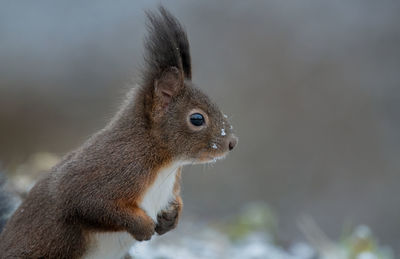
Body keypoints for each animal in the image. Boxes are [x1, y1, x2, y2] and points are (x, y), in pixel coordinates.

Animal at [0, 6, 238, 259]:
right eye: (197, 119)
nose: (232, 142)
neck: (166, 162)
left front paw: (172, 216)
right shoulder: (110, 170)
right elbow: (88, 203)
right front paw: (142, 226)